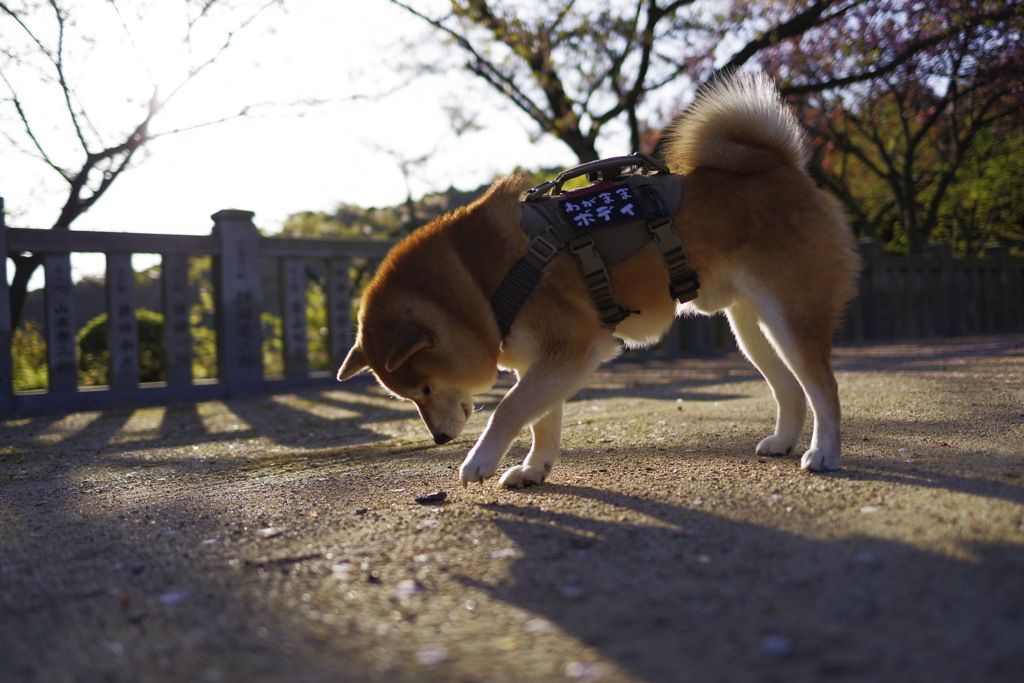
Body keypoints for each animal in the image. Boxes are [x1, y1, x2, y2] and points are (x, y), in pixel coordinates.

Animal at [335, 74, 856, 489]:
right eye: (409, 396)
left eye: (423, 389)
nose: (439, 438)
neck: (478, 283)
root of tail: (781, 166)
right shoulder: (545, 361)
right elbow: (541, 421)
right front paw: (533, 470)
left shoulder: (572, 349)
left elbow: (509, 410)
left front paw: (480, 460)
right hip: (750, 328)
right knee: (790, 388)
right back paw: (784, 441)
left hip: (791, 316)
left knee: (824, 386)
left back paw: (824, 452)